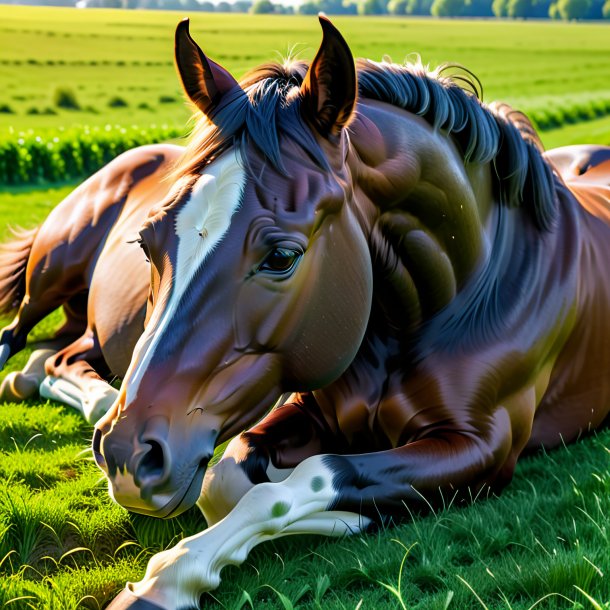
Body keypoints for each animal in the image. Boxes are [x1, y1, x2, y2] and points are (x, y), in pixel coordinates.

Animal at [1, 16, 608, 604]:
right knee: (23, 336)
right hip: (51, 275)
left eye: (282, 257)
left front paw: (166, 581)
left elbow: (311, 478)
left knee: (58, 355)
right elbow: (230, 480)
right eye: (147, 241)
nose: (128, 456)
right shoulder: (304, 408)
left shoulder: (483, 448)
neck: (473, 284)